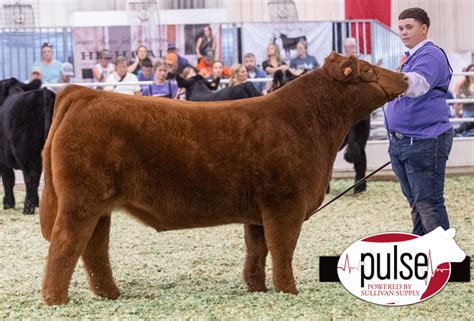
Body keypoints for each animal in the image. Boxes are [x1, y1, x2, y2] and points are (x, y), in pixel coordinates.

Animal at [0, 78, 55, 212]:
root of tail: (43, 94)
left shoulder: (2, 159)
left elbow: (8, 179)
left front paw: (8, 204)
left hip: (27, 153)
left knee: (31, 177)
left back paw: (28, 208)